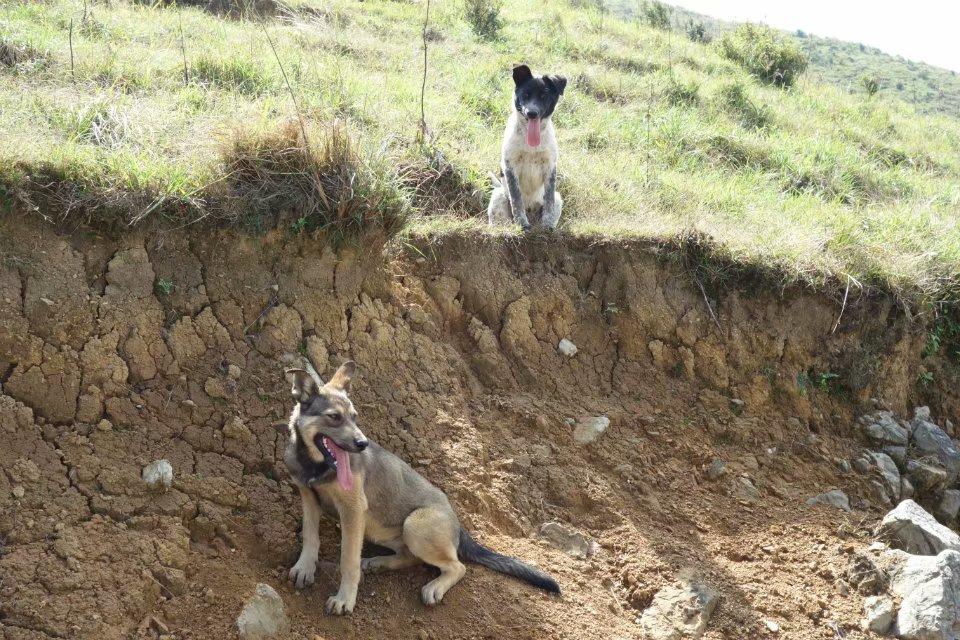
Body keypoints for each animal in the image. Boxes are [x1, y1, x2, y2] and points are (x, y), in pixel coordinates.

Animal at [282, 362, 560, 612]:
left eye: (354, 417)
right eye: (334, 417)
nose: (363, 444)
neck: (314, 465)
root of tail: (458, 523)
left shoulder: (353, 510)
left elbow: (347, 560)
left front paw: (344, 599)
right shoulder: (308, 497)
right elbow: (310, 535)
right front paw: (305, 567)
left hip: (414, 524)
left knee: (458, 566)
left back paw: (433, 587)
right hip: (381, 530)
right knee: (410, 557)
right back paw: (379, 562)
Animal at [488, 62, 564, 231]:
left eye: (544, 96)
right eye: (526, 94)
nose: (532, 113)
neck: (531, 146)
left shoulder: (550, 167)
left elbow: (549, 200)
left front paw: (547, 225)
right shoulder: (510, 167)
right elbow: (516, 200)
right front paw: (522, 224)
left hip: (559, 198)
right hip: (499, 196)